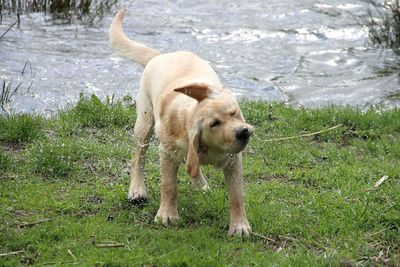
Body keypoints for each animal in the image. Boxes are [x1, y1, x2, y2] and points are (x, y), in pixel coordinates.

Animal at [109, 9, 253, 238]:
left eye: (234, 112)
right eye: (214, 123)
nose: (243, 132)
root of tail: (159, 56)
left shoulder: (233, 161)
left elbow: (237, 195)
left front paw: (239, 225)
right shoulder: (166, 153)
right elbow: (169, 186)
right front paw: (167, 215)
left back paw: (200, 183)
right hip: (144, 123)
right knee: (138, 157)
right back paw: (137, 190)